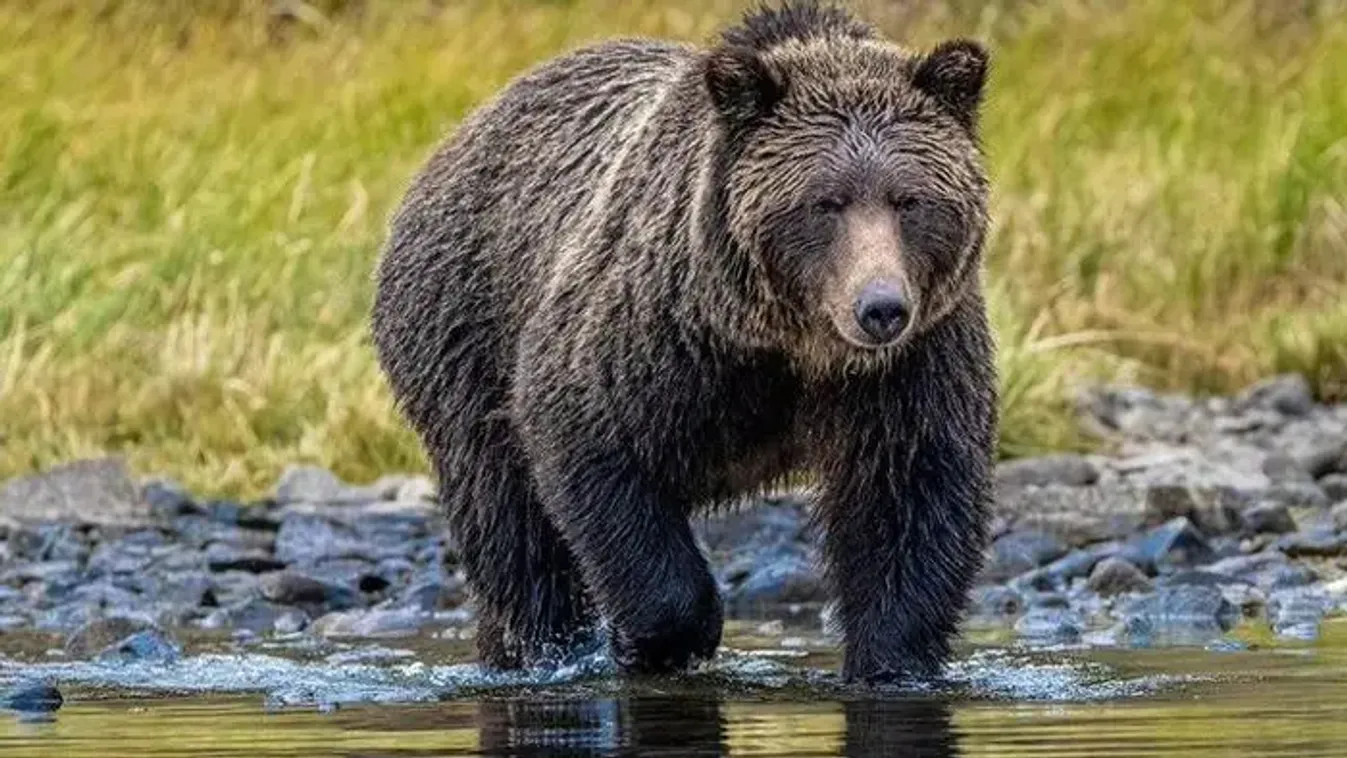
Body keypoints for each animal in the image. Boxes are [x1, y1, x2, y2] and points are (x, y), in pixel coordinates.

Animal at [370, 0, 998, 683]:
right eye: (825, 202)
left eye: (909, 200)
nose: (881, 308)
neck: (790, 347)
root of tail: (457, 138)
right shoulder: (657, 334)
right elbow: (590, 439)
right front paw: (656, 639)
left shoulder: (913, 365)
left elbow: (911, 499)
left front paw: (890, 661)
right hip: (464, 328)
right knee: (511, 523)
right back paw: (540, 648)